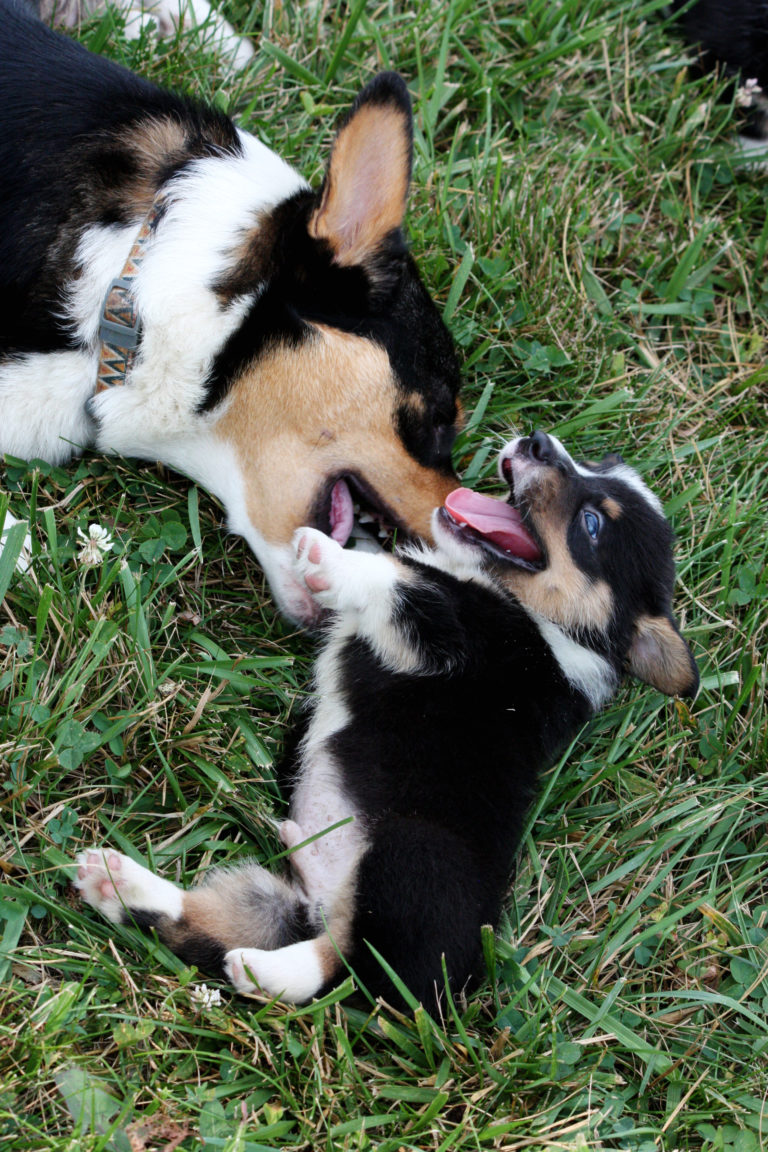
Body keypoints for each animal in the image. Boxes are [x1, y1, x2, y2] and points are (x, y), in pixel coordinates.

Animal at [74, 433, 700, 1018]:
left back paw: (260, 971)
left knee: (345, 971)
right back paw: (115, 881)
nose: (537, 442)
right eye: (597, 464)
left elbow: (403, 581)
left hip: (411, 856)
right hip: (278, 901)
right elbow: (403, 571)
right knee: (211, 923)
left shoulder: (451, 637)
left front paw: (325, 552)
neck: (549, 625)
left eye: (592, 524)